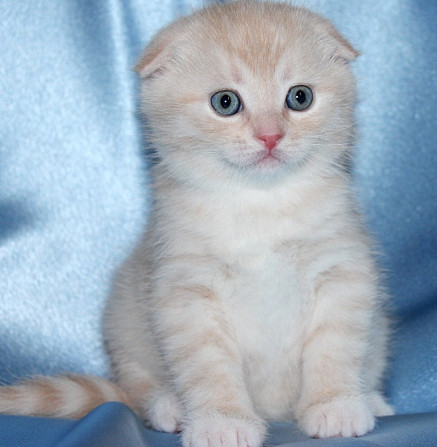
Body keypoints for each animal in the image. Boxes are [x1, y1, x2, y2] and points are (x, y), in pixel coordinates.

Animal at [0, 1, 394, 446]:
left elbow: (335, 347)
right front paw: (223, 422)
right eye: (225, 102)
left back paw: (370, 398)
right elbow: (209, 367)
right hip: (122, 321)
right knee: (136, 389)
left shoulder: (342, 272)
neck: (260, 207)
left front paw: (334, 404)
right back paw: (169, 406)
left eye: (300, 97)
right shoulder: (185, 290)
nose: (270, 136)